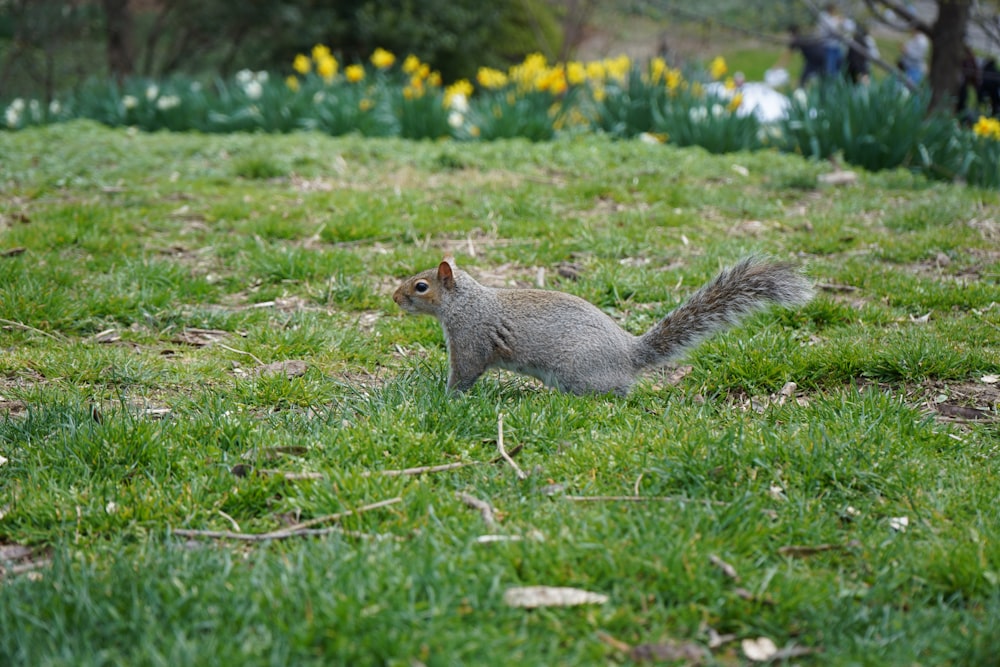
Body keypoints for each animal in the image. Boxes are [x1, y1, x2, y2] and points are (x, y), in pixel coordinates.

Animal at [390, 256, 812, 396]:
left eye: (421, 286)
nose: (394, 298)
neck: (465, 303)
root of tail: (629, 353)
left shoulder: (471, 338)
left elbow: (465, 372)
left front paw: (446, 397)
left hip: (578, 373)